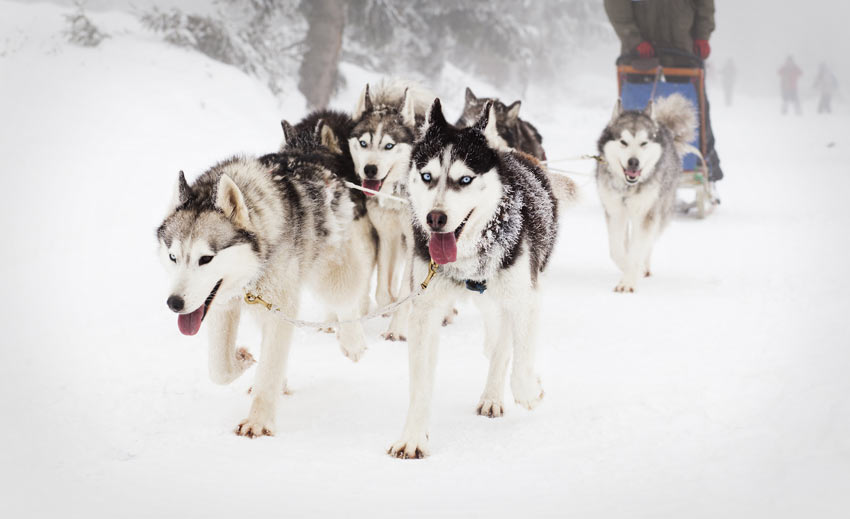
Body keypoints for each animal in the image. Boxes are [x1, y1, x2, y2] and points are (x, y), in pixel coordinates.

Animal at [157, 151, 374, 438]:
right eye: (173, 257)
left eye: (206, 258)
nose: (174, 303)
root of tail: (308, 154)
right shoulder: (223, 306)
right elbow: (219, 368)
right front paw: (242, 360)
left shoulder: (280, 309)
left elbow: (269, 367)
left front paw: (258, 422)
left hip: (327, 269)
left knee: (345, 297)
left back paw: (352, 341)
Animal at [346, 77, 434, 338]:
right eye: (363, 143)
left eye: (389, 146)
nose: (370, 170)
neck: (397, 194)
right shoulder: (387, 236)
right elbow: (383, 290)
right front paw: (388, 306)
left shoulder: (415, 243)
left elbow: (407, 291)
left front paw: (396, 330)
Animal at [388, 100, 568, 460]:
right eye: (427, 176)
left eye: (465, 179)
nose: (435, 218)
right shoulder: (424, 312)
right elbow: (420, 385)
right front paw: (413, 437)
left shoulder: (525, 299)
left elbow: (520, 363)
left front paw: (530, 392)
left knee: (503, 345)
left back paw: (493, 396)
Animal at [596, 93, 696, 292]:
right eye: (623, 142)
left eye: (643, 143)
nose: (633, 162)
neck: (628, 188)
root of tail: (664, 127)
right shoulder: (615, 212)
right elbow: (617, 250)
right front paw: (627, 268)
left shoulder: (646, 213)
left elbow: (638, 250)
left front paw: (628, 280)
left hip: (660, 210)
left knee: (648, 243)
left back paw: (644, 266)